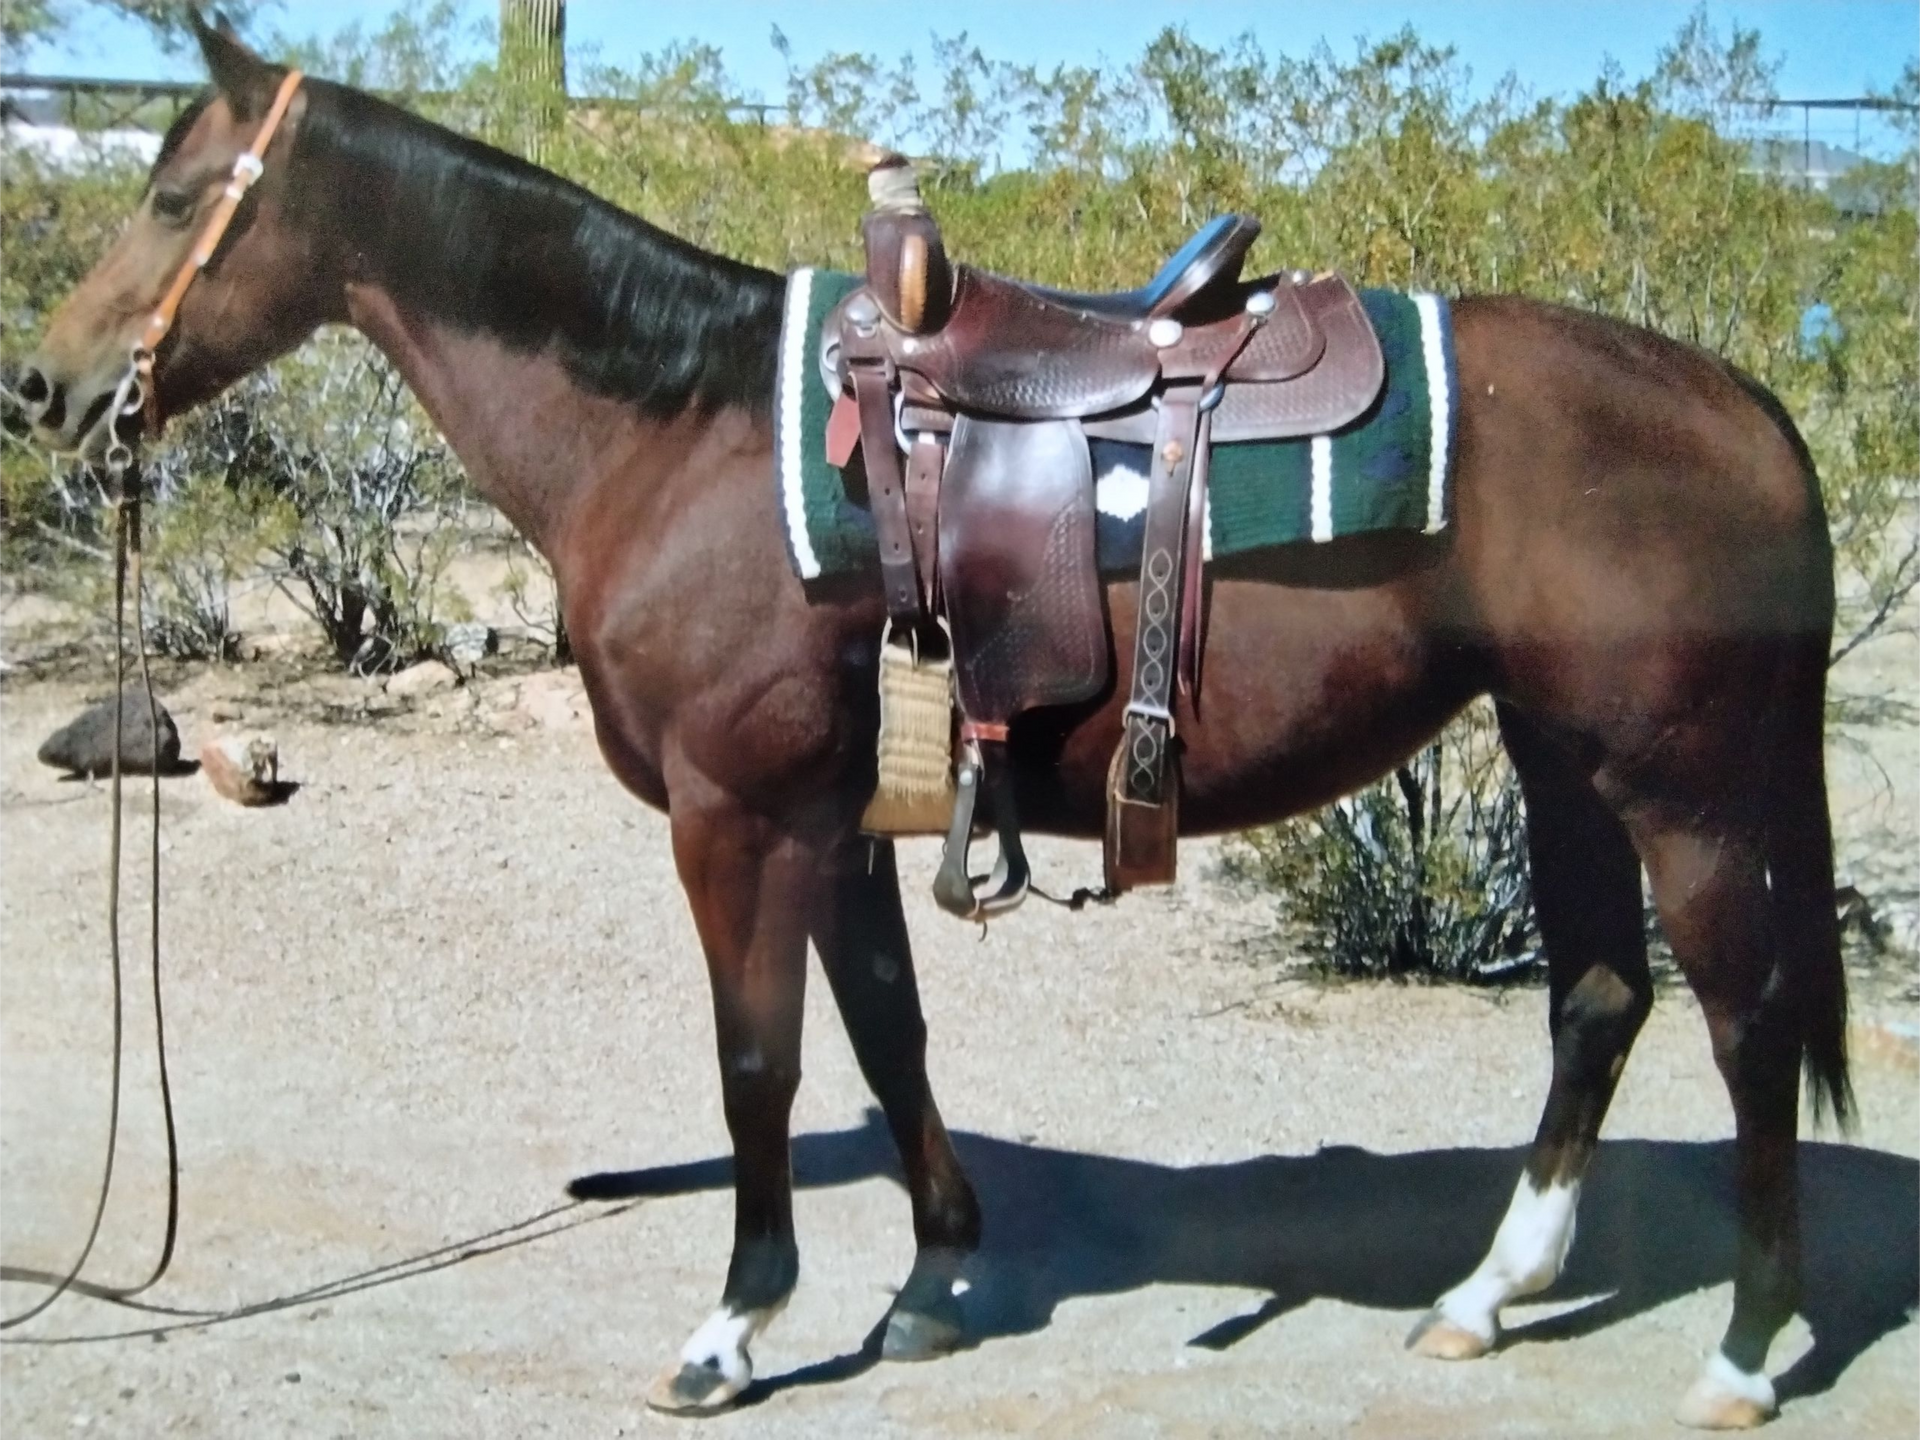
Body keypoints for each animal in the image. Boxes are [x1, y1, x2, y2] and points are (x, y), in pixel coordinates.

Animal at [16, 19, 1851, 1429]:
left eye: (174, 194)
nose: (43, 388)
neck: (675, 431)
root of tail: (1743, 402)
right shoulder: (842, 826)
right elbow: (889, 1034)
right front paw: (937, 1276)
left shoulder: (736, 820)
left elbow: (757, 1063)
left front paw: (735, 1324)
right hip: (1564, 764)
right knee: (1599, 1001)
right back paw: (1488, 1293)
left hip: (1682, 793)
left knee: (1746, 1027)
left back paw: (1748, 1350)